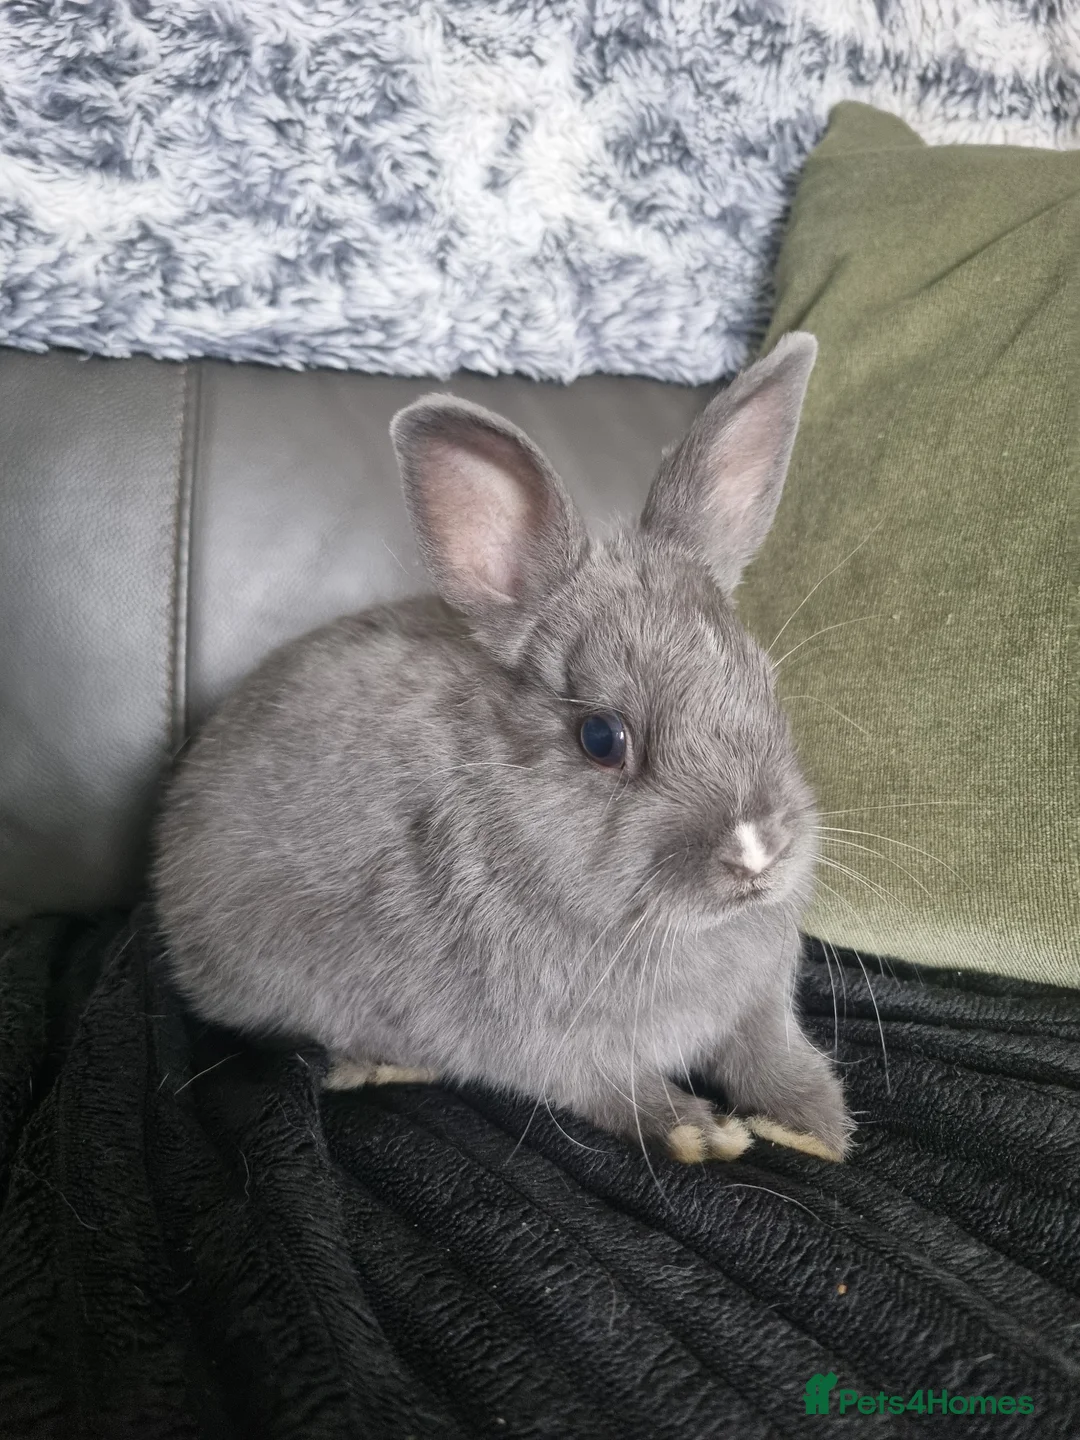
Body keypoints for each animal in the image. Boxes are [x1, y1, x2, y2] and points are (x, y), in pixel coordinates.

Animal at [153, 331, 853, 1165]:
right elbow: (612, 1091)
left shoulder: (756, 1008)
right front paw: (700, 1133)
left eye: (762, 684)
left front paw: (813, 1127)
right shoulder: (552, 1047)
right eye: (602, 738)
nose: (756, 851)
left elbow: (771, 1054)